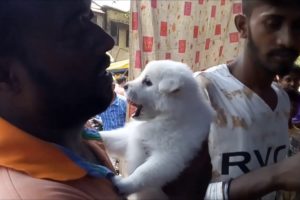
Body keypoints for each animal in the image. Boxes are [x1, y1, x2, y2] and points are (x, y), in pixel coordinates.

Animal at [101, 60, 213, 199]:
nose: (125, 86)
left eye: (148, 82)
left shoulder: (169, 156)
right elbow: (111, 138)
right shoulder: (130, 139)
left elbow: (143, 172)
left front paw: (124, 184)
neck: (164, 119)